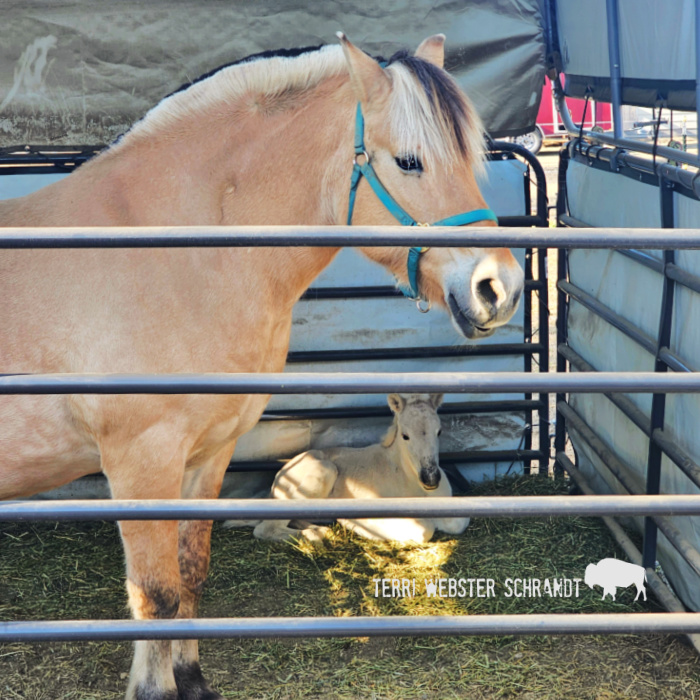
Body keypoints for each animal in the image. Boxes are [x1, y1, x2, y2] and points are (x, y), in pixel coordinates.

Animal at [247, 393, 470, 543]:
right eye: (405, 435)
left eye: (439, 431)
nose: (431, 478)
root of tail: (278, 477)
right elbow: (424, 530)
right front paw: (355, 524)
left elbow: (459, 522)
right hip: (324, 470)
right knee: (264, 529)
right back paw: (318, 535)